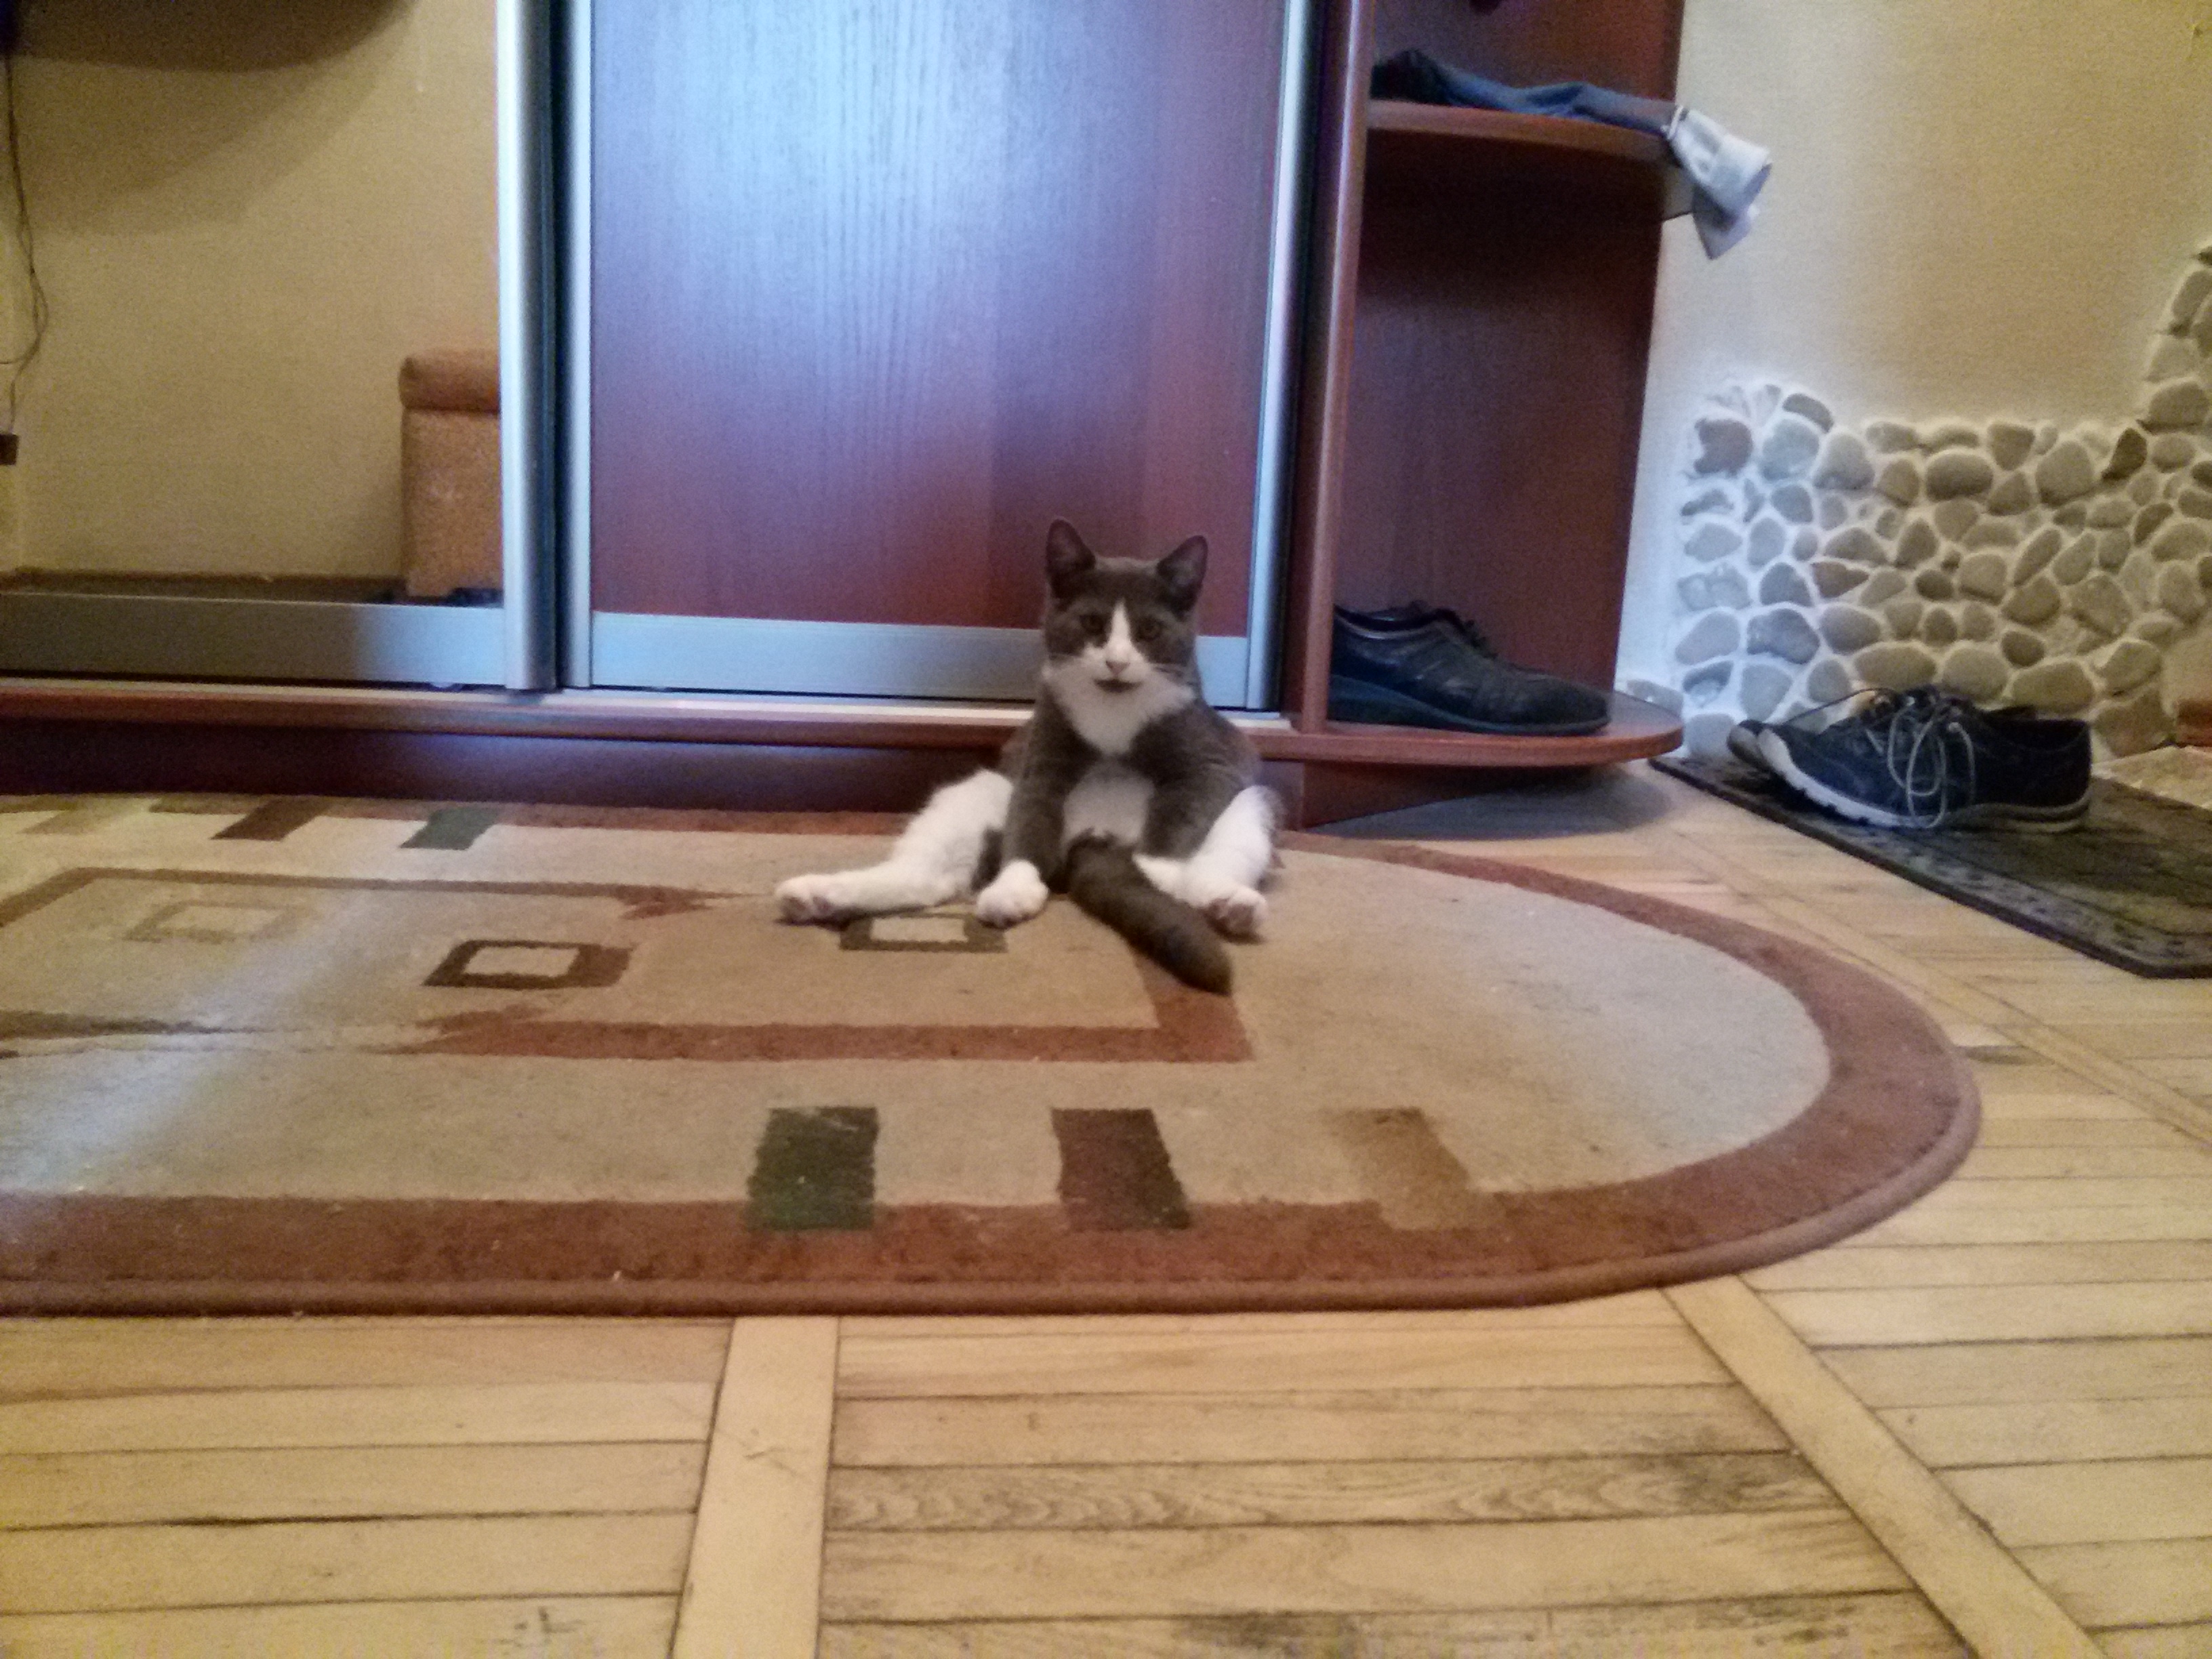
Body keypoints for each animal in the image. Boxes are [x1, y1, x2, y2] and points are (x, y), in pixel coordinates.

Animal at [775, 520, 1278, 992]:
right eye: (1092, 623)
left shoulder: (1211, 761)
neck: (1114, 713)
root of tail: (1097, 834)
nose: (1116, 661)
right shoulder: (1042, 749)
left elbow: (1180, 815)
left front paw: (1155, 872)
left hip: (1252, 805)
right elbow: (1032, 817)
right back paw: (817, 895)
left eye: (1149, 630)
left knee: (1216, 862)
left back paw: (1228, 904)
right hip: (982, 788)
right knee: (928, 874)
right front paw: (1015, 887)